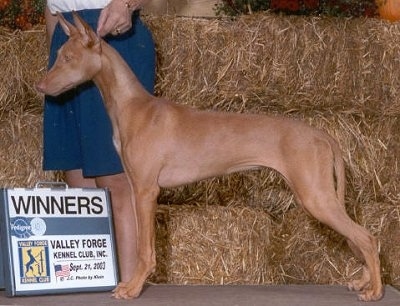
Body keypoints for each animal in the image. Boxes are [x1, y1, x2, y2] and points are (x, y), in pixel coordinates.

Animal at [37, 12, 384, 302]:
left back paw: (375, 290)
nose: (40, 86)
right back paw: (365, 282)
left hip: (316, 196)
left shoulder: (147, 190)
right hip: (319, 195)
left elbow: (145, 250)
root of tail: (323, 134)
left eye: (68, 58)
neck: (134, 107)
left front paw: (133, 288)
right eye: (59, 56)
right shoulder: (137, 188)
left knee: (367, 238)